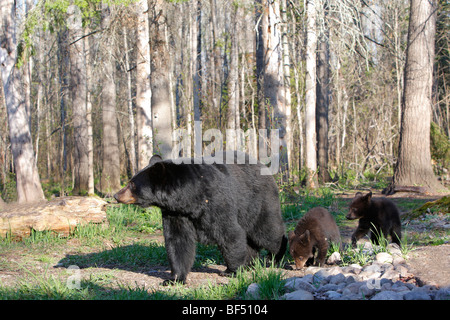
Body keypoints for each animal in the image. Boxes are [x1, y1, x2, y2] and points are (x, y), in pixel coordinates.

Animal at [114, 153, 286, 284]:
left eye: (132, 184)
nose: (116, 195)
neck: (188, 199)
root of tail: (264, 167)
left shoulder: (216, 201)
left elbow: (230, 234)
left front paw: (231, 270)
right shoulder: (175, 213)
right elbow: (178, 241)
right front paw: (174, 278)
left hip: (258, 201)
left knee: (267, 231)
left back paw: (275, 257)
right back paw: (251, 263)